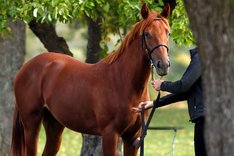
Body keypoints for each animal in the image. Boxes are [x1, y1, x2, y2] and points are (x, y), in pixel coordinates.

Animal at [11, 3, 170, 156]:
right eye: (147, 34)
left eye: (168, 32)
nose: (164, 65)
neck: (122, 81)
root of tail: (25, 67)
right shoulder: (110, 134)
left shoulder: (133, 137)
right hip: (31, 124)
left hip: (54, 126)